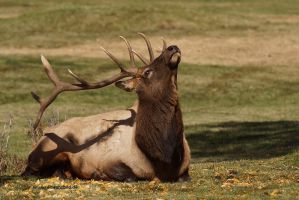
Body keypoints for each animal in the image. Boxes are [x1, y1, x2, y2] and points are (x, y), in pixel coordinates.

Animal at [23, 33, 192, 182]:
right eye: (147, 71)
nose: (172, 47)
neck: (161, 156)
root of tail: (44, 134)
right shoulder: (111, 160)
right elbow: (129, 176)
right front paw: (99, 174)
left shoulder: (185, 168)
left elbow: (184, 178)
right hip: (47, 152)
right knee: (29, 171)